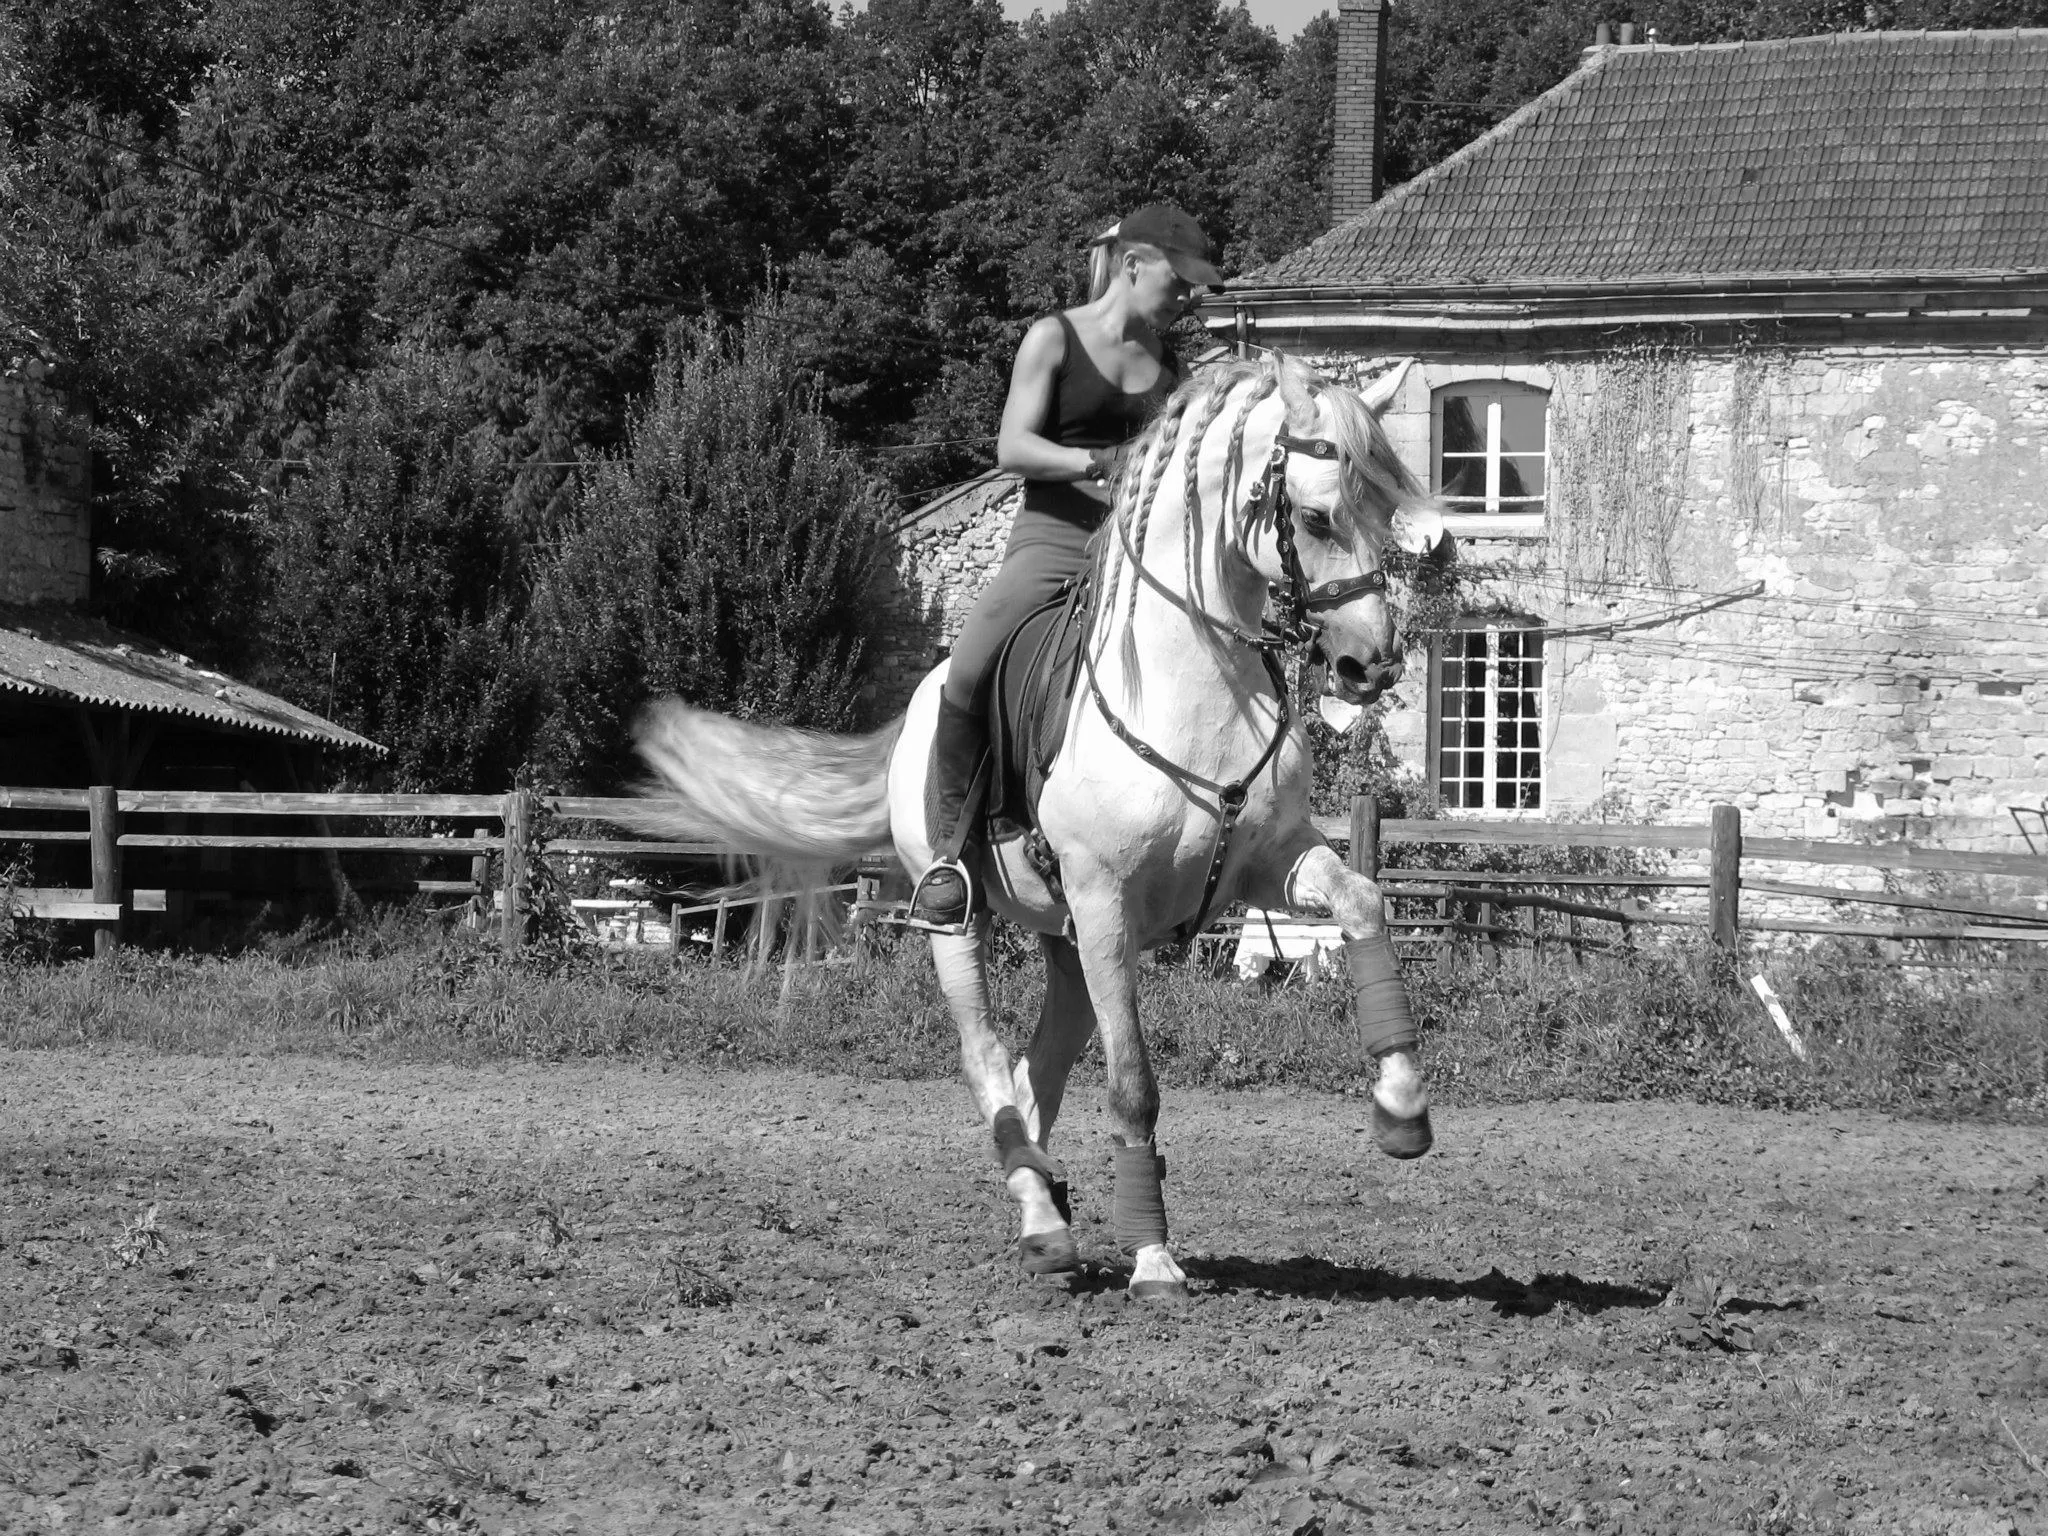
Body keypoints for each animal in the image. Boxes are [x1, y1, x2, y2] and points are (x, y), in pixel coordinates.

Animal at [626, 352, 1446, 1301]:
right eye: (1315, 516)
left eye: (1381, 511)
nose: (1371, 664)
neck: (1192, 681)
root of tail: (912, 715)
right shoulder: (1104, 901)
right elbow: (1133, 1088)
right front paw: (1154, 1260)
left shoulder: (1266, 863)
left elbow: (1364, 903)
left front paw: (1401, 1109)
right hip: (968, 919)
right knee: (988, 1058)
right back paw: (1044, 1218)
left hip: (1068, 944)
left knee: (1036, 1069)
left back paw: (1046, 1208)